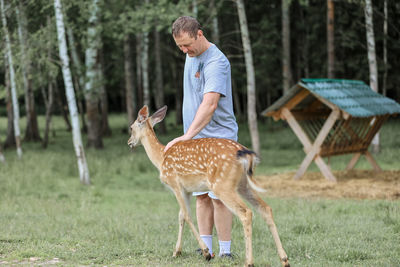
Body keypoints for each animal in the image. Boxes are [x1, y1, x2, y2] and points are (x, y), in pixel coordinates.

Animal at [126, 105, 290, 266]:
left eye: (131, 128)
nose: (129, 142)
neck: (160, 158)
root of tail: (246, 155)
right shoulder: (187, 190)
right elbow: (181, 216)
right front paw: (176, 252)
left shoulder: (174, 183)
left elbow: (187, 215)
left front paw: (205, 252)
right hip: (242, 184)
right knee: (266, 208)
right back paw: (284, 259)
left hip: (222, 184)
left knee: (246, 212)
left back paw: (249, 262)